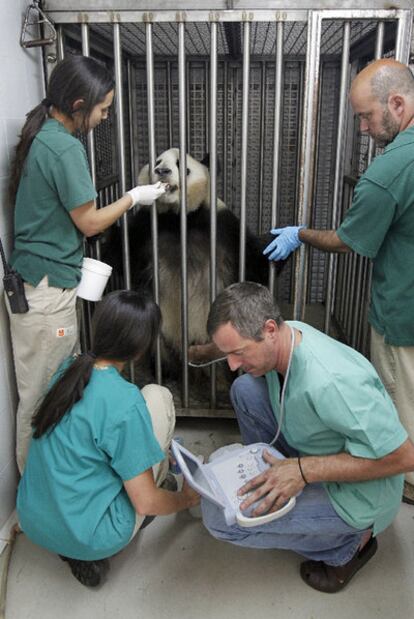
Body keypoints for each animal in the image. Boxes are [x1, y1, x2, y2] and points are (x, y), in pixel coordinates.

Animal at [103, 148, 284, 386]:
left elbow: (254, 263)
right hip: (160, 332)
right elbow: (121, 256)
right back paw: (165, 374)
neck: (179, 220)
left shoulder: (223, 227)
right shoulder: (146, 227)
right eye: (157, 161)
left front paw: (281, 242)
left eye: (182, 166)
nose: (162, 171)